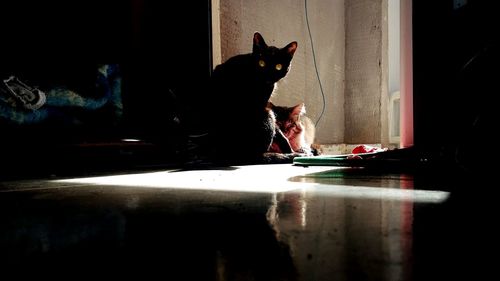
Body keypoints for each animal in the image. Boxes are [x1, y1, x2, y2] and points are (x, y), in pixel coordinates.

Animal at [207, 31, 296, 163]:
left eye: (278, 66)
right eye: (262, 63)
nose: (268, 75)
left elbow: (280, 133)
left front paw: (290, 149)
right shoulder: (263, 105)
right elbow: (278, 130)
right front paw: (291, 152)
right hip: (267, 113)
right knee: (256, 156)